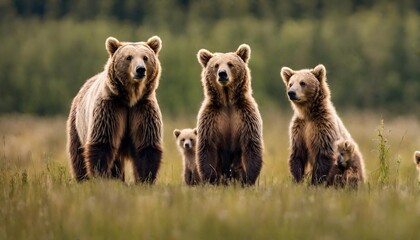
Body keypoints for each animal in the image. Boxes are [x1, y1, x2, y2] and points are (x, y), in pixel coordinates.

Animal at [66, 35, 163, 183]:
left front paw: (145, 179)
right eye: (128, 57)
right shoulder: (111, 108)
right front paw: (101, 176)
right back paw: (84, 179)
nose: (140, 69)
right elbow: (103, 143)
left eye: (145, 57)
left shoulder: (142, 109)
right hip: (77, 124)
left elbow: (147, 145)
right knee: (78, 154)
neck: (130, 98)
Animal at [196, 43, 262, 186]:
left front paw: (248, 180)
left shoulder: (245, 116)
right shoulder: (211, 118)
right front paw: (210, 179)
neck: (227, 102)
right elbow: (207, 149)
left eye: (230, 64)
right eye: (216, 65)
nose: (222, 74)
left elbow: (251, 146)